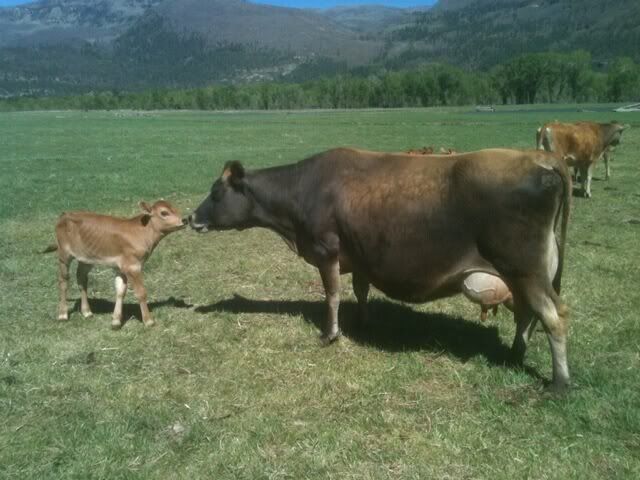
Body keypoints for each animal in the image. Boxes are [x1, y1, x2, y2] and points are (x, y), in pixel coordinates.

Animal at [43, 200, 185, 329]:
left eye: (175, 208)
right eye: (164, 212)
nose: (184, 220)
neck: (141, 233)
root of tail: (65, 214)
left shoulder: (120, 267)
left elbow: (120, 291)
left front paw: (116, 321)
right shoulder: (132, 266)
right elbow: (141, 292)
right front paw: (149, 321)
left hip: (86, 258)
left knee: (81, 279)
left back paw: (87, 312)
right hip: (63, 254)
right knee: (63, 280)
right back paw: (63, 314)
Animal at [189, 148, 572, 391]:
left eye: (217, 193)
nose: (191, 217)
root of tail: (542, 160)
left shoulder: (326, 249)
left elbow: (332, 294)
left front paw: (330, 334)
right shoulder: (360, 254)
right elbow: (360, 290)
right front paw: (363, 321)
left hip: (525, 269)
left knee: (553, 317)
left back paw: (560, 383)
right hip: (527, 273)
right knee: (527, 313)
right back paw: (515, 353)